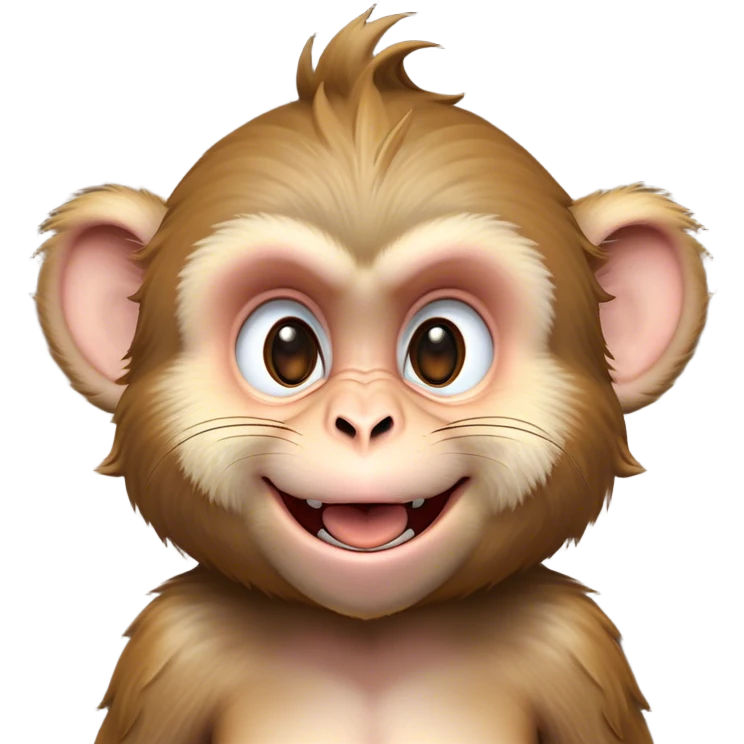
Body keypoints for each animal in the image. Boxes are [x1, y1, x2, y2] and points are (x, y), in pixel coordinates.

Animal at [32, 7, 712, 743]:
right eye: (287, 349)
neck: (371, 640)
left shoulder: (572, 647)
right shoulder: (174, 648)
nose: (362, 421)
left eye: (440, 350)